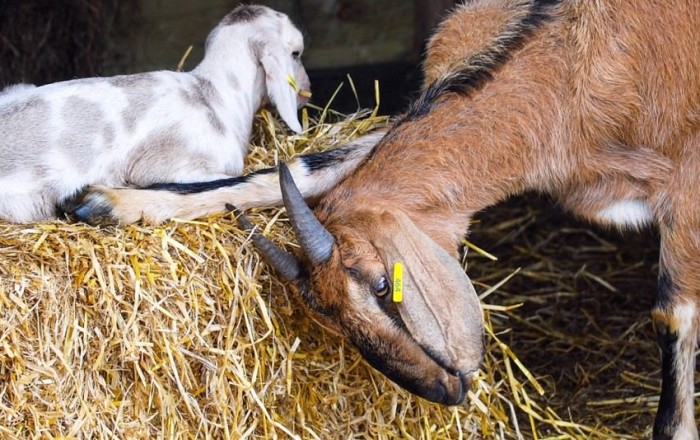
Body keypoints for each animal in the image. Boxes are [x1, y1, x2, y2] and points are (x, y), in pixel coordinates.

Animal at [71, 0, 700, 437]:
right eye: (323, 318)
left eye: (381, 286)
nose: (444, 391)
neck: (571, 73)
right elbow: (306, 167)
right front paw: (111, 203)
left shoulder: (688, 190)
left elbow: (672, 316)